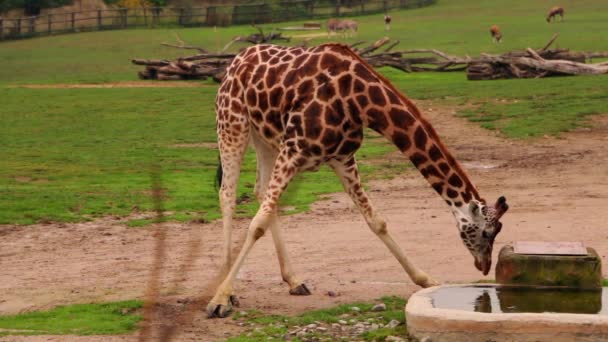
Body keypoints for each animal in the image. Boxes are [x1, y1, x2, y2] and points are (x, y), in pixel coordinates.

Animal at [209, 43, 508, 318]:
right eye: (486, 232)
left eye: (496, 232)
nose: (484, 266)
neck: (357, 100)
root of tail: (237, 60)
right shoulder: (294, 149)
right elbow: (257, 224)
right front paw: (219, 300)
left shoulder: (343, 158)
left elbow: (376, 221)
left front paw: (425, 279)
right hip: (233, 122)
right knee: (228, 193)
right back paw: (228, 289)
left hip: (265, 136)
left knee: (260, 192)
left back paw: (294, 281)